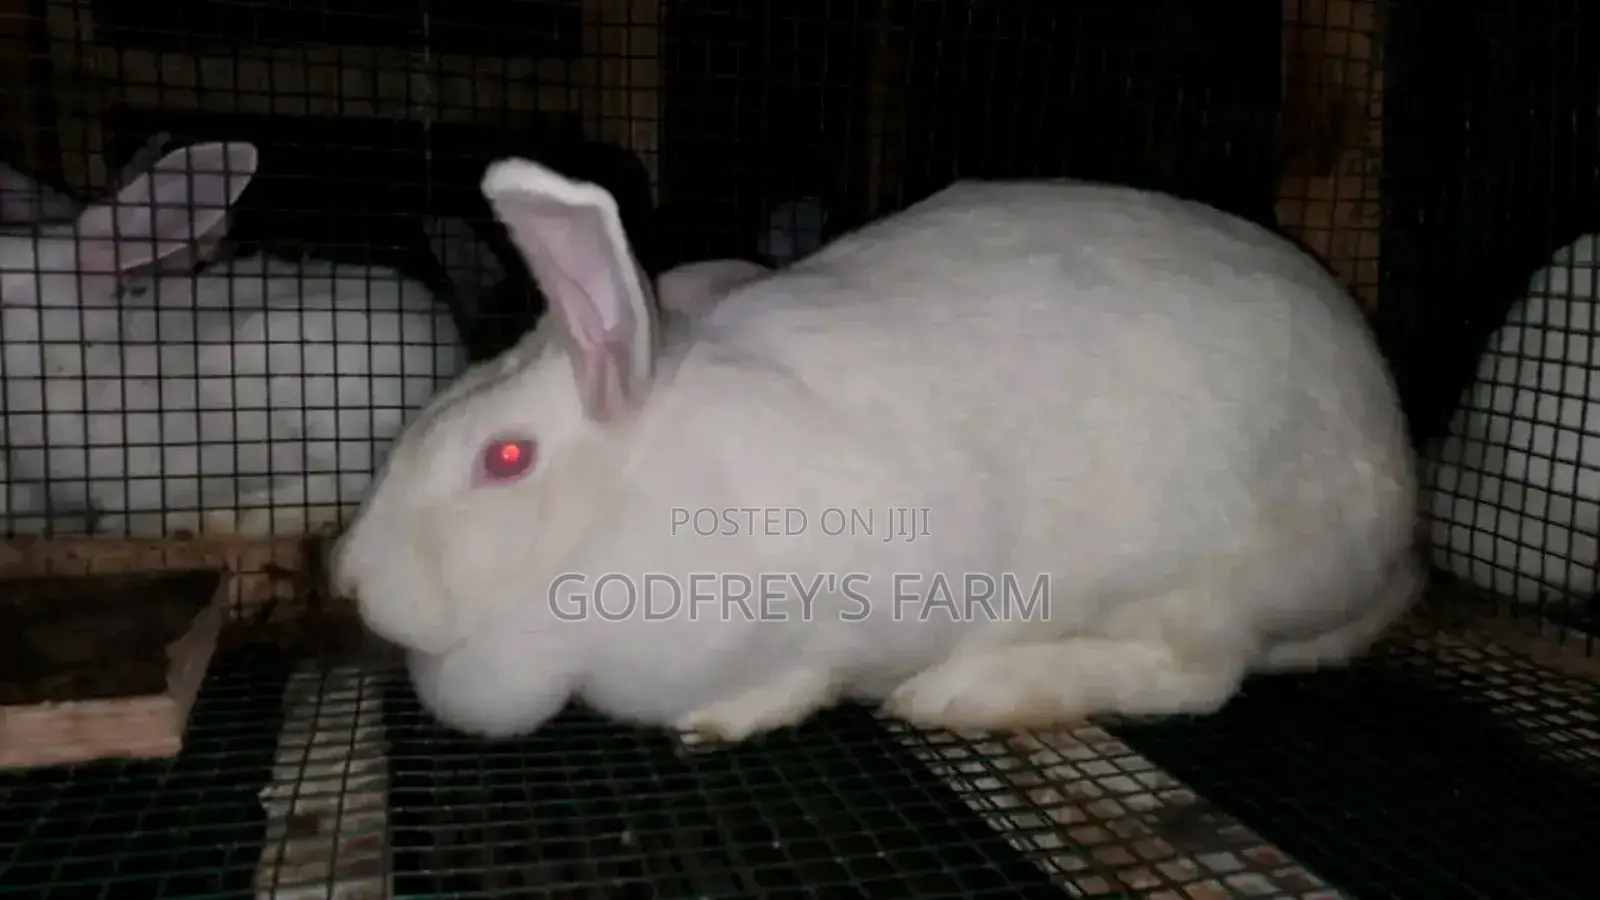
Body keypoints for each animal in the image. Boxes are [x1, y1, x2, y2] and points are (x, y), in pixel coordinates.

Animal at [330, 161, 1422, 745]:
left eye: (505, 459)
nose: (348, 582)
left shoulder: (848, 609)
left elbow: (804, 676)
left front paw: (726, 721)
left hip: (1201, 576)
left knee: (1197, 676)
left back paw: (963, 695)